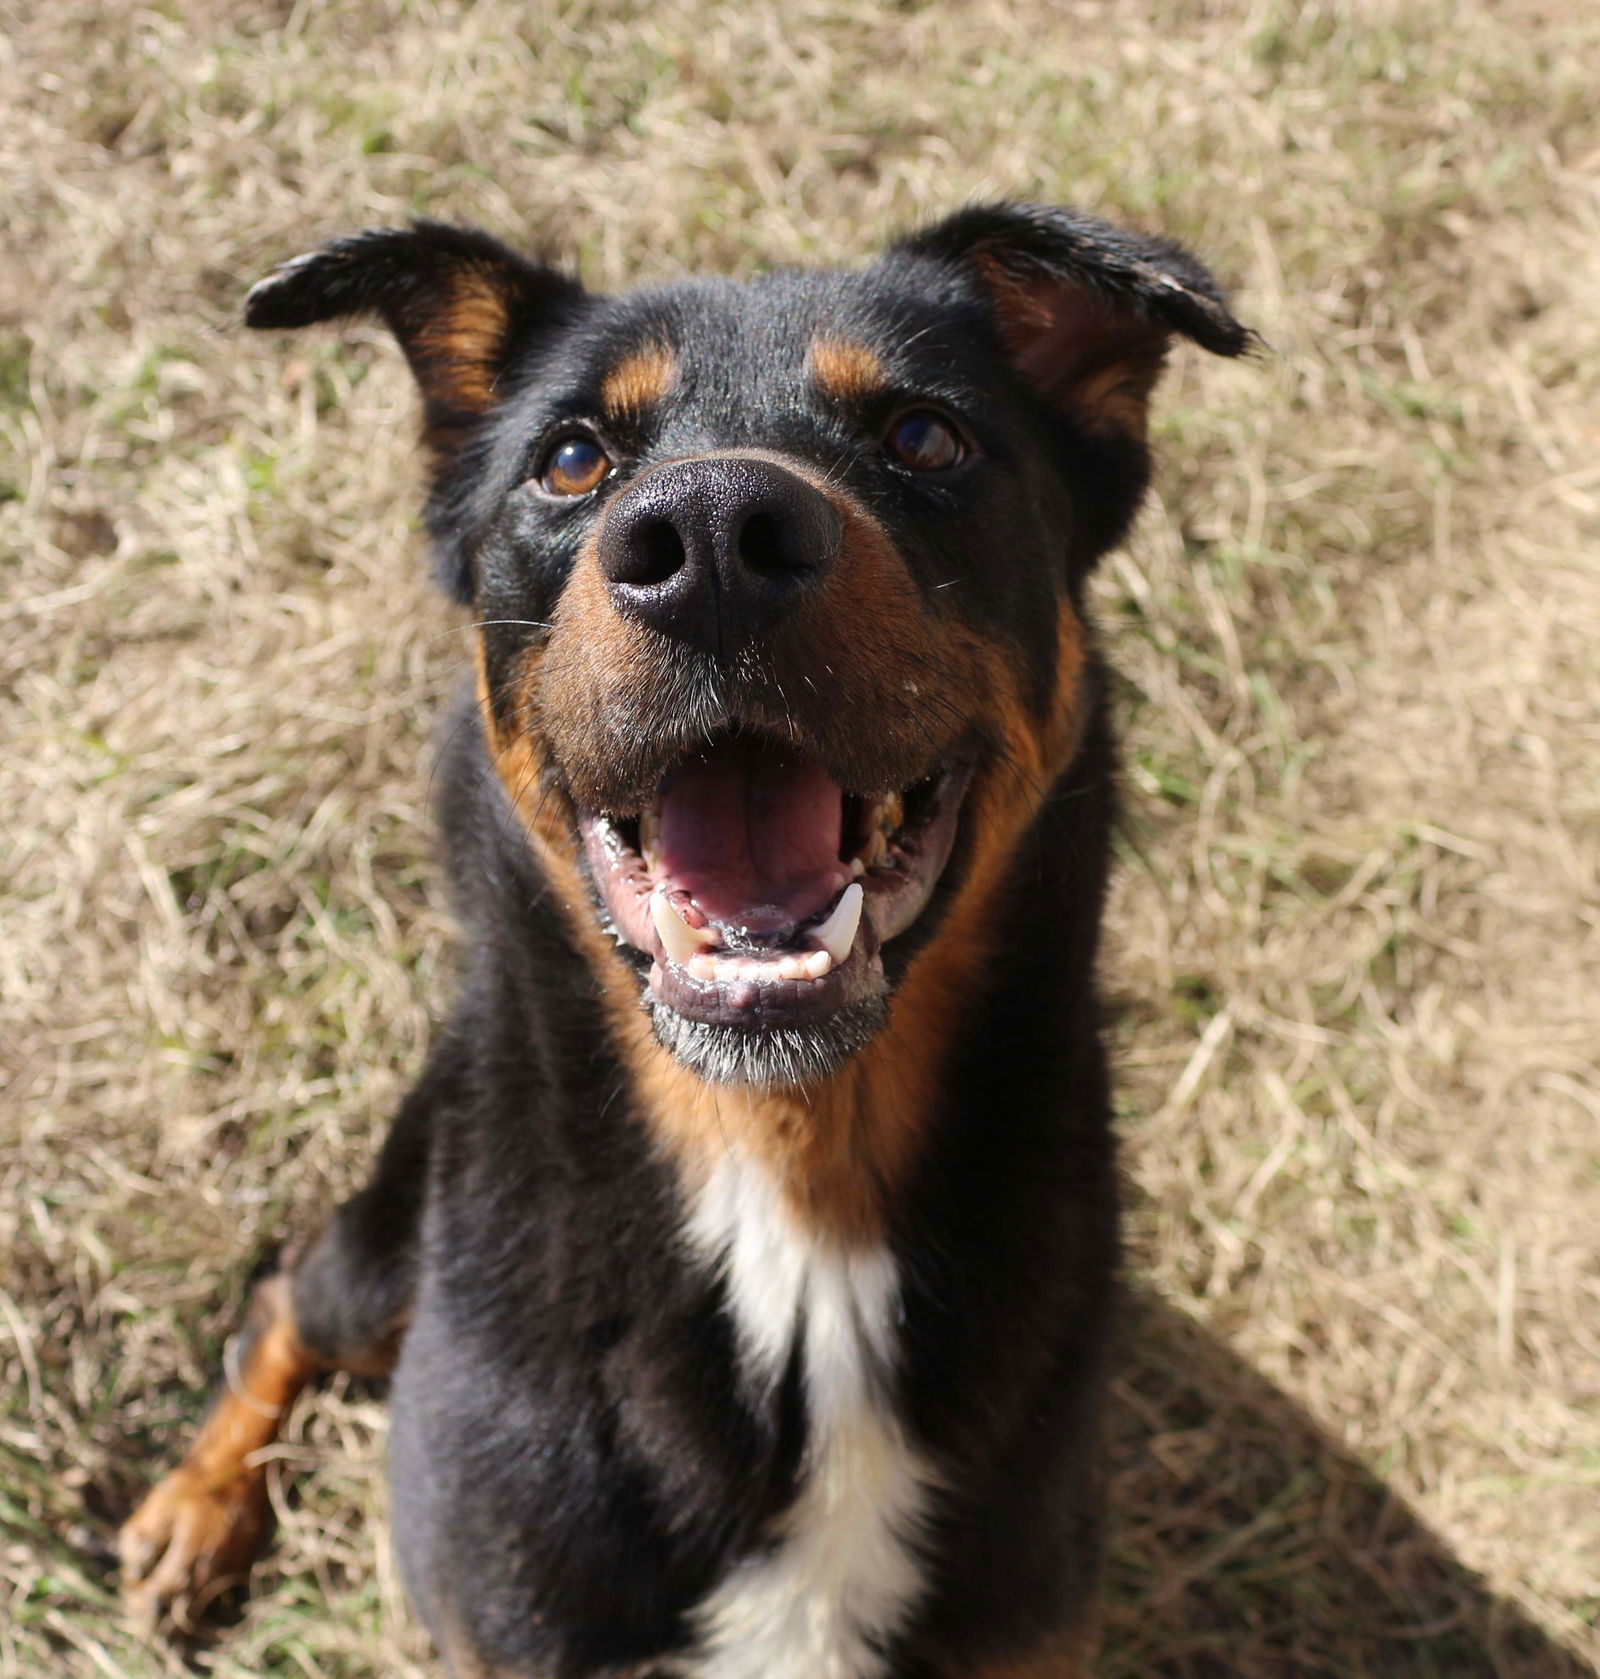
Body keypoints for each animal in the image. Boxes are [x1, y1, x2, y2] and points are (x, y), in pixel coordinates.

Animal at [121, 203, 1249, 1672]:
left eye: (925, 436)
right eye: (569, 458)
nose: (711, 537)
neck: (791, 1186)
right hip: (388, 1251)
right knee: (288, 1295)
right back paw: (193, 1516)